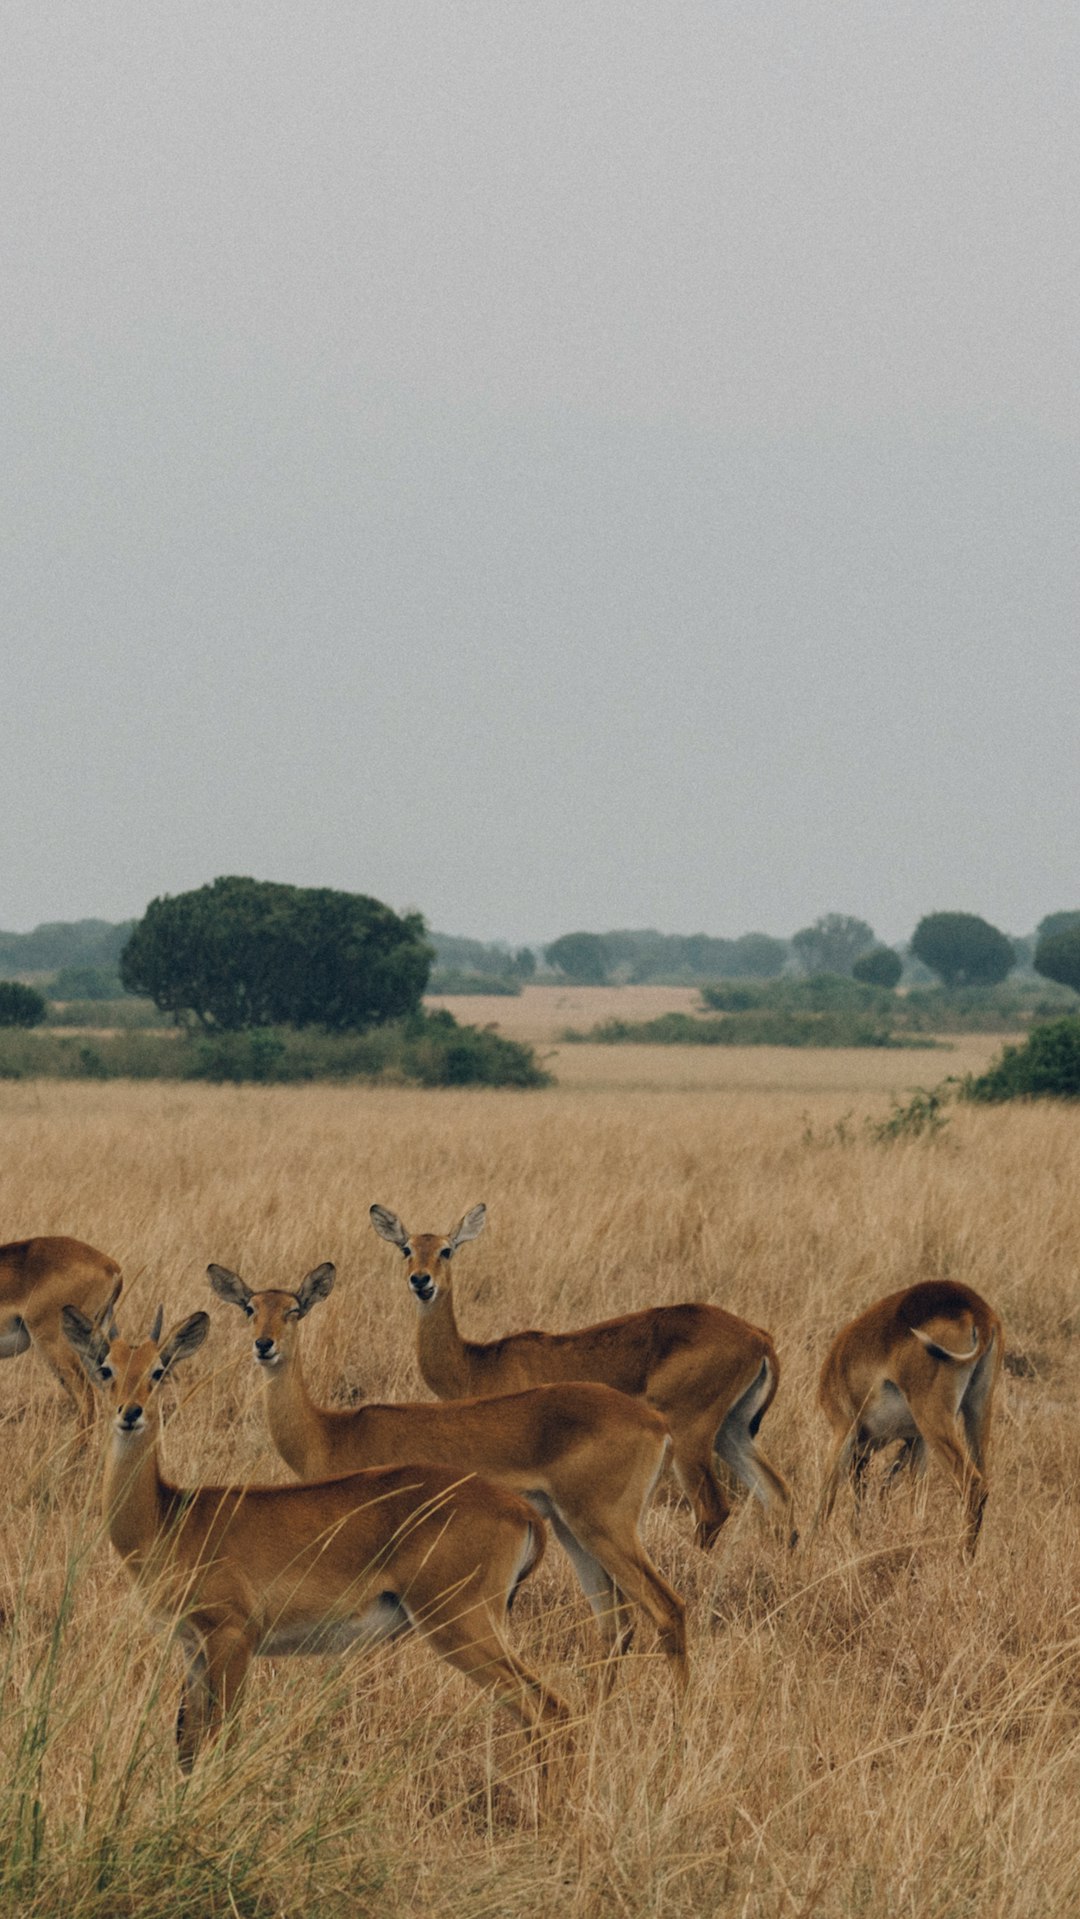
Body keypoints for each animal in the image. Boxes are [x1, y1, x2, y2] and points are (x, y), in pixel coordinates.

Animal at [60, 1281, 571, 1773]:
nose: (130, 1413)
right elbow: (186, 1746)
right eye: (106, 1368)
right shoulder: (192, 1649)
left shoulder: (232, 1638)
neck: (168, 1518)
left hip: (460, 1624)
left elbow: (223, 1740)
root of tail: (518, 1509)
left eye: (158, 1370)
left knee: (549, 1709)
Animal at [207, 1258, 690, 1696]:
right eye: (250, 1307)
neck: (330, 1433)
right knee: (616, 1625)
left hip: (603, 1528)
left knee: (667, 1609)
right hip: (573, 1531)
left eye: (294, 1309)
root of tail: (657, 1423)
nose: (264, 1345)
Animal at [372, 1205, 794, 1550]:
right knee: (778, 1494)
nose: (421, 1281)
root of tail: (758, 1337)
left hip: (692, 1433)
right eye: (407, 1248)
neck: (477, 1363)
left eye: (446, 1249)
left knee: (713, 1510)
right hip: (732, 1431)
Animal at [821, 1274, 1005, 1558]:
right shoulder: (916, 1441)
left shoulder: (843, 1430)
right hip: (976, 1412)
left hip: (934, 1418)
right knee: (982, 1479)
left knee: (972, 1484)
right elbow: (912, 1499)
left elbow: (825, 1499)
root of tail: (976, 1310)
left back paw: (961, 1558)